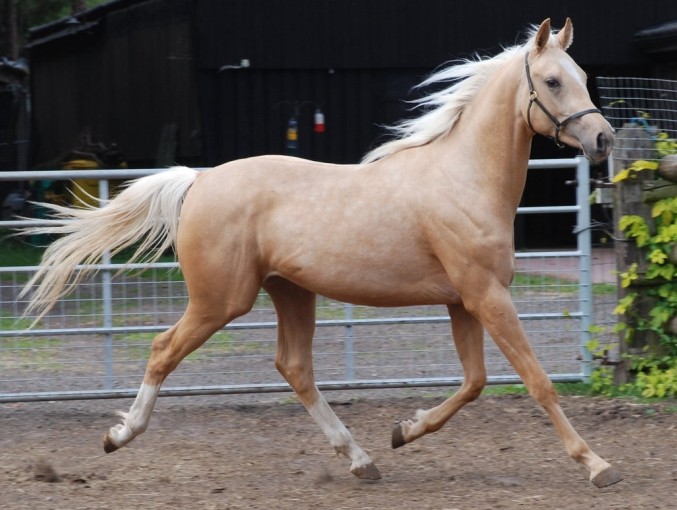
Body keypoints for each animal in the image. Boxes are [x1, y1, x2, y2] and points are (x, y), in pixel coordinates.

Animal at [19, 18, 624, 486]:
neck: (464, 179)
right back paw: (119, 434)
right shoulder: (486, 295)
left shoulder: (463, 302)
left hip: (291, 292)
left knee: (295, 367)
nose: (603, 140)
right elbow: (537, 380)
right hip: (221, 300)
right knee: (163, 349)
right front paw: (597, 465)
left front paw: (404, 431)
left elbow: (474, 383)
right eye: (552, 81)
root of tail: (199, 179)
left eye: (583, 77)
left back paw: (362, 460)